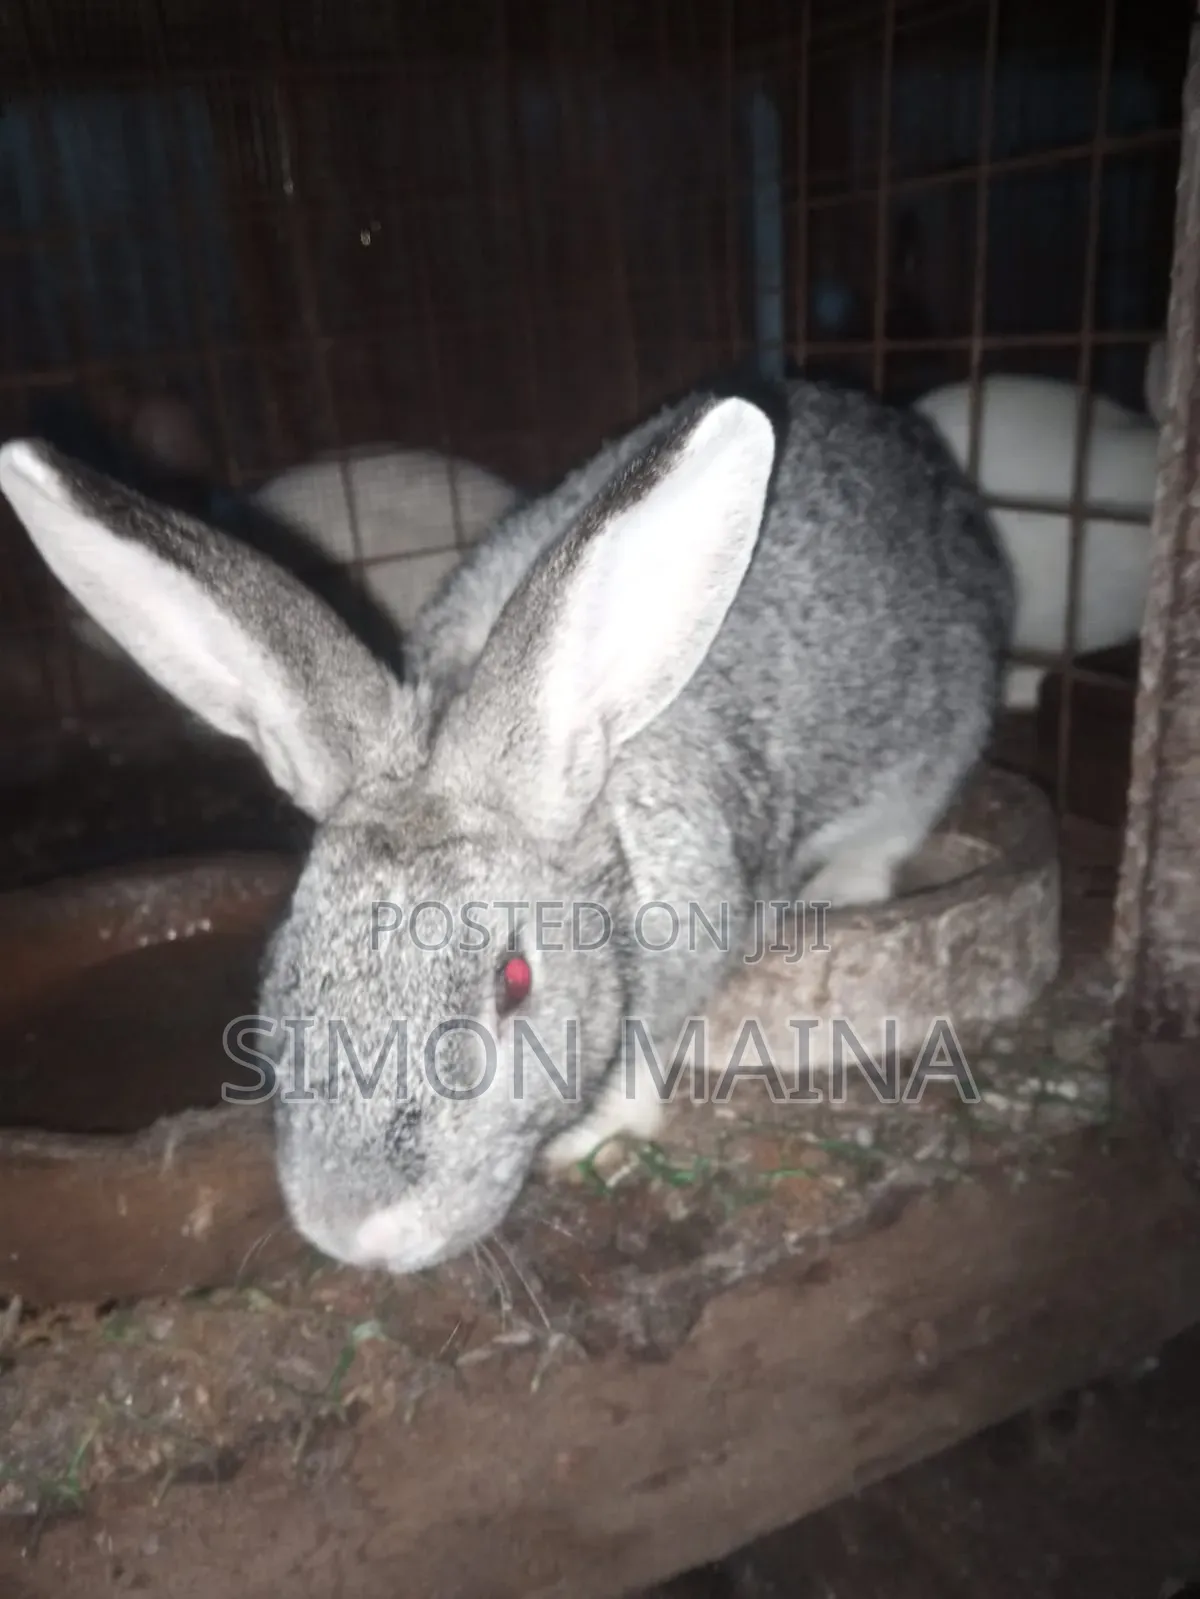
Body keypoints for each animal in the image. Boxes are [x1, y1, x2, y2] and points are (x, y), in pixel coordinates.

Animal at [0, 373, 1014, 1276]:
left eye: (514, 982)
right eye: (284, 963)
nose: (354, 1233)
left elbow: (642, 1058)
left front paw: (594, 1140)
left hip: (930, 741)